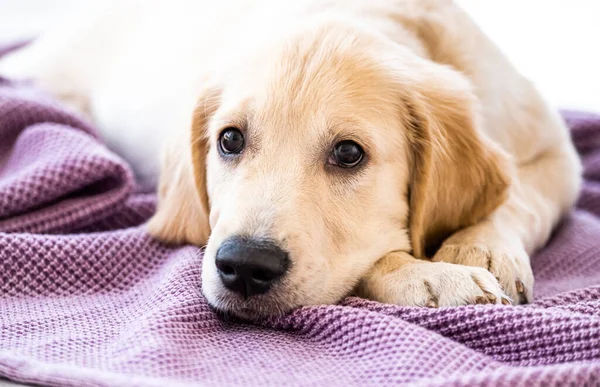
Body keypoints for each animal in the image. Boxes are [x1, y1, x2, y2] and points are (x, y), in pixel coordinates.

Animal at [0, 0, 580, 318]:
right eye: (229, 141)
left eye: (348, 153)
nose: (243, 267)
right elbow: (374, 259)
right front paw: (433, 279)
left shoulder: (559, 153)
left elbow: (519, 198)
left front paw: (480, 249)